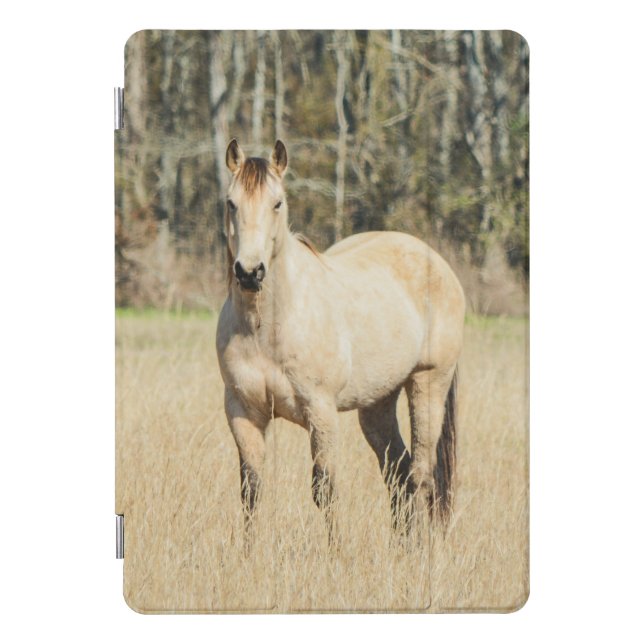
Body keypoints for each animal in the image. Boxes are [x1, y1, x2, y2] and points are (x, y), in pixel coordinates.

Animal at [216, 140, 465, 539]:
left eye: (277, 203)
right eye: (231, 202)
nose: (250, 272)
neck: (265, 327)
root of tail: (436, 261)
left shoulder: (321, 412)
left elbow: (325, 490)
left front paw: (334, 552)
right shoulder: (242, 411)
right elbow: (251, 491)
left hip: (428, 383)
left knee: (422, 476)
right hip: (377, 403)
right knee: (399, 474)